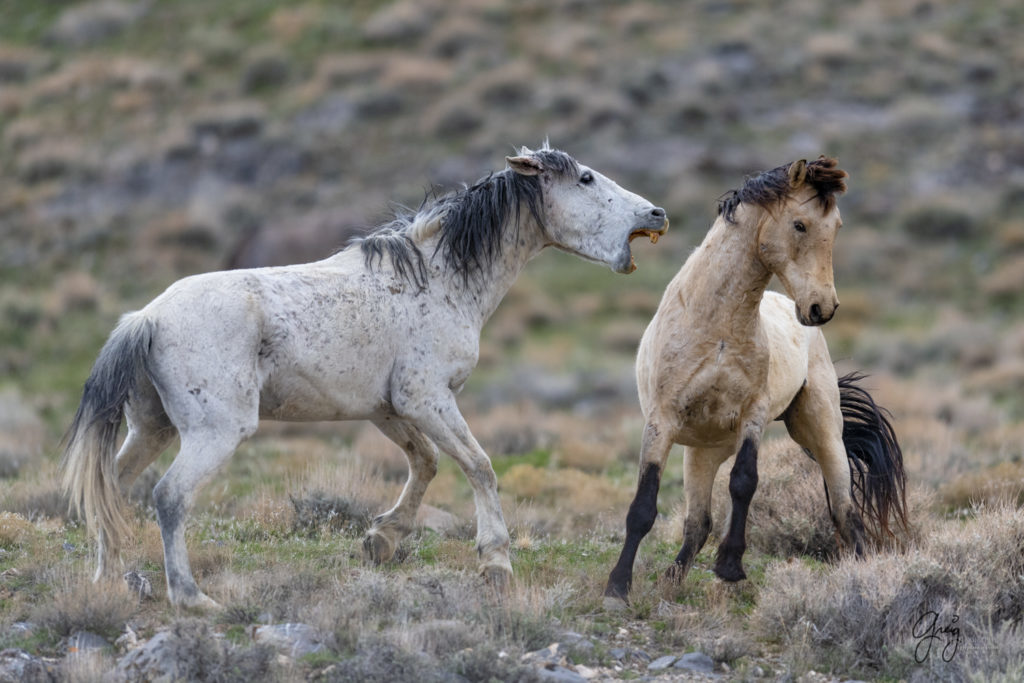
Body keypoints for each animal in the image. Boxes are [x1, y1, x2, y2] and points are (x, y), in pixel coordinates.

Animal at [66, 145, 671, 610]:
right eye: (586, 178)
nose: (657, 214)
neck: (438, 278)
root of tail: (147, 318)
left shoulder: (388, 409)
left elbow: (425, 463)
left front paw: (381, 540)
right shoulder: (427, 399)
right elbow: (479, 466)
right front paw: (496, 564)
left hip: (153, 429)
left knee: (111, 486)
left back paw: (111, 582)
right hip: (213, 434)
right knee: (169, 497)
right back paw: (191, 598)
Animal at [602, 157, 909, 606]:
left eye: (836, 226)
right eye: (799, 224)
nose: (823, 307)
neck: (715, 327)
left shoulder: (753, 415)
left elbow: (744, 482)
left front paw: (730, 566)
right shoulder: (662, 422)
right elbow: (644, 506)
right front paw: (618, 587)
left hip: (820, 432)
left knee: (845, 511)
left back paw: (865, 574)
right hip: (701, 452)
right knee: (698, 523)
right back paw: (671, 579)